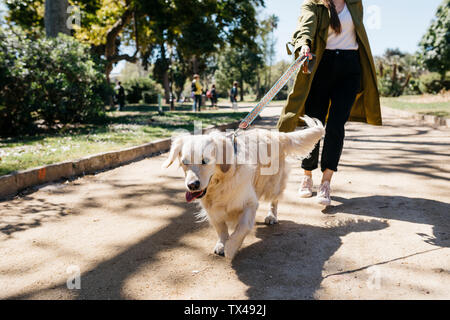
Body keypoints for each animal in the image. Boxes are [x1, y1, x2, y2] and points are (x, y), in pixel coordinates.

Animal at [162, 116, 324, 258]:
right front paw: (222, 244)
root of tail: (277, 135)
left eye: (205, 161)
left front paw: (231, 247)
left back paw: (271, 216)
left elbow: (243, 226)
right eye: (184, 162)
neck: (221, 182)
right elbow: (221, 228)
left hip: (272, 184)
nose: (192, 185)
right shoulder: (212, 209)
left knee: (274, 200)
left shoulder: (249, 202)